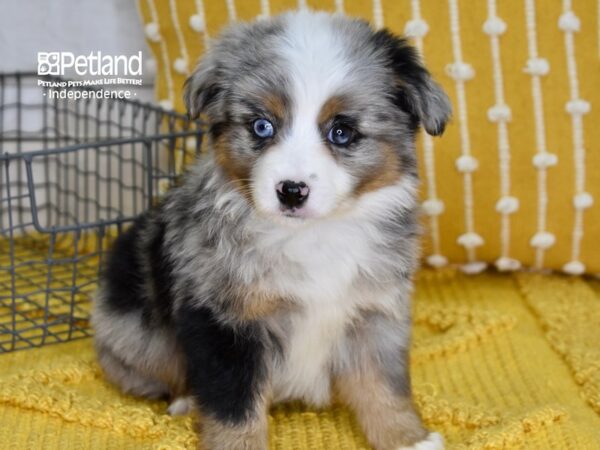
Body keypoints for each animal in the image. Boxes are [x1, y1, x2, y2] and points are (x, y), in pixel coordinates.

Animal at [91, 10, 450, 450]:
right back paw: (184, 401)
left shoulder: (373, 311)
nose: (291, 191)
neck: (313, 235)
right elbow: (235, 404)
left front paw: (407, 438)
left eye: (342, 132)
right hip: (131, 332)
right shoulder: (224, 320)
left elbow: (384, 385)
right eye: (262, 126)